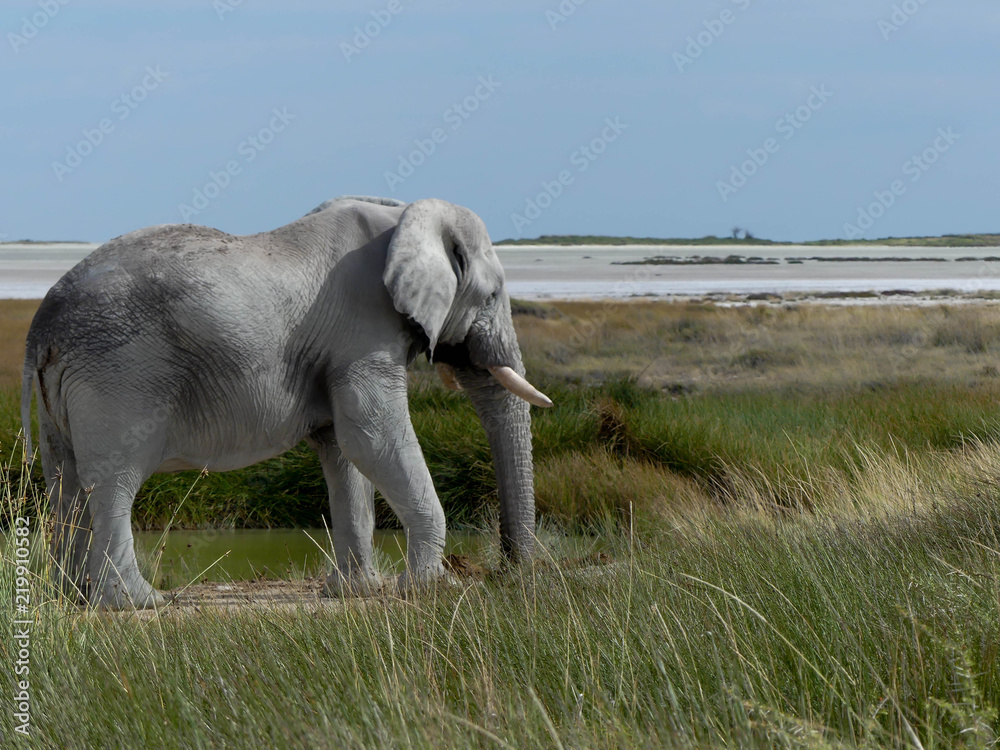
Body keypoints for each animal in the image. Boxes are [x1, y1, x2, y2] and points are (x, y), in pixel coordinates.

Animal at [21, 195, 552, 608]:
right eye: (493, 294)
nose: (506, 570)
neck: (403, 213)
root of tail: (41, 326)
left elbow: (345, 452)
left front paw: (357, 593)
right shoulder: (363, 332)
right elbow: (371, 436)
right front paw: (425, 590)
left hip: (66, 390)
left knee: (65, 482)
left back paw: (73, 598)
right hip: (119, 376)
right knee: (113, 482)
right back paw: (138, 602)